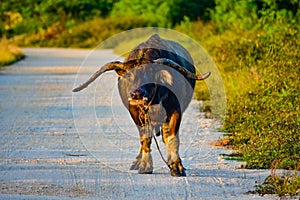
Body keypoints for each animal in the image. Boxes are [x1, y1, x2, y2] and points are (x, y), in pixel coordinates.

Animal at [73, 34, 210, 177]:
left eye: (149, 73)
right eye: (129, 76)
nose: (136, 94)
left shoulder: (175, 110)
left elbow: (172, 137)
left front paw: (177, 166)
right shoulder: (135, 113)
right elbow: (145, 138)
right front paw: (145, 165)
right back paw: (137, 162)